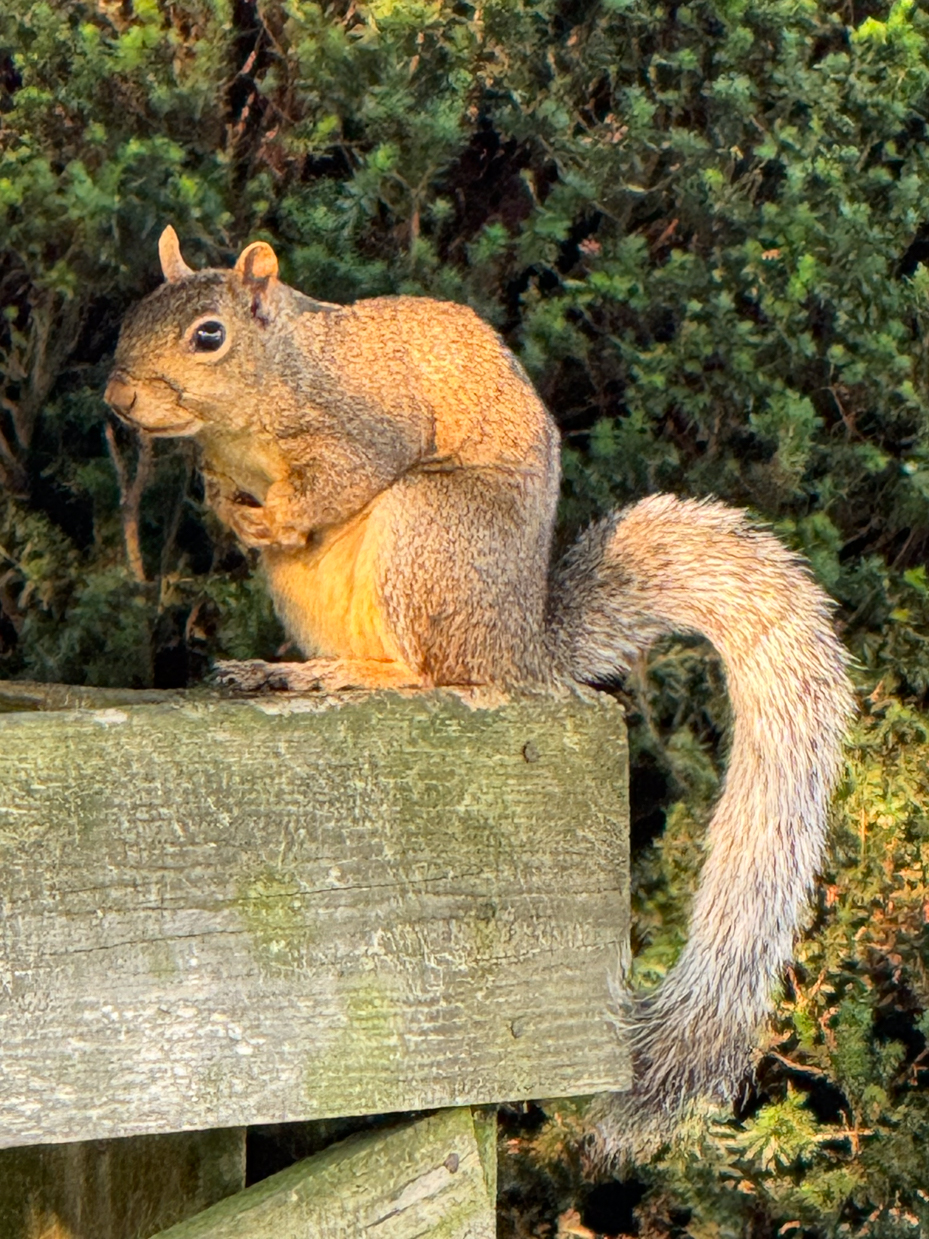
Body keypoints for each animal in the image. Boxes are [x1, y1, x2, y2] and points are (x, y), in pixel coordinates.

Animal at [105, 225, 857, 1159]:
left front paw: (267, 514)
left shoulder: (365, 425)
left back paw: (353, 670)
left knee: (433, 674)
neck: (267, 389)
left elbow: (337, 476)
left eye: (208, 334)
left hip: (429, 529)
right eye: (136, 311)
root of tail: (519, 646)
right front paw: (223, 505)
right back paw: (285, 669)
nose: (119, 397)